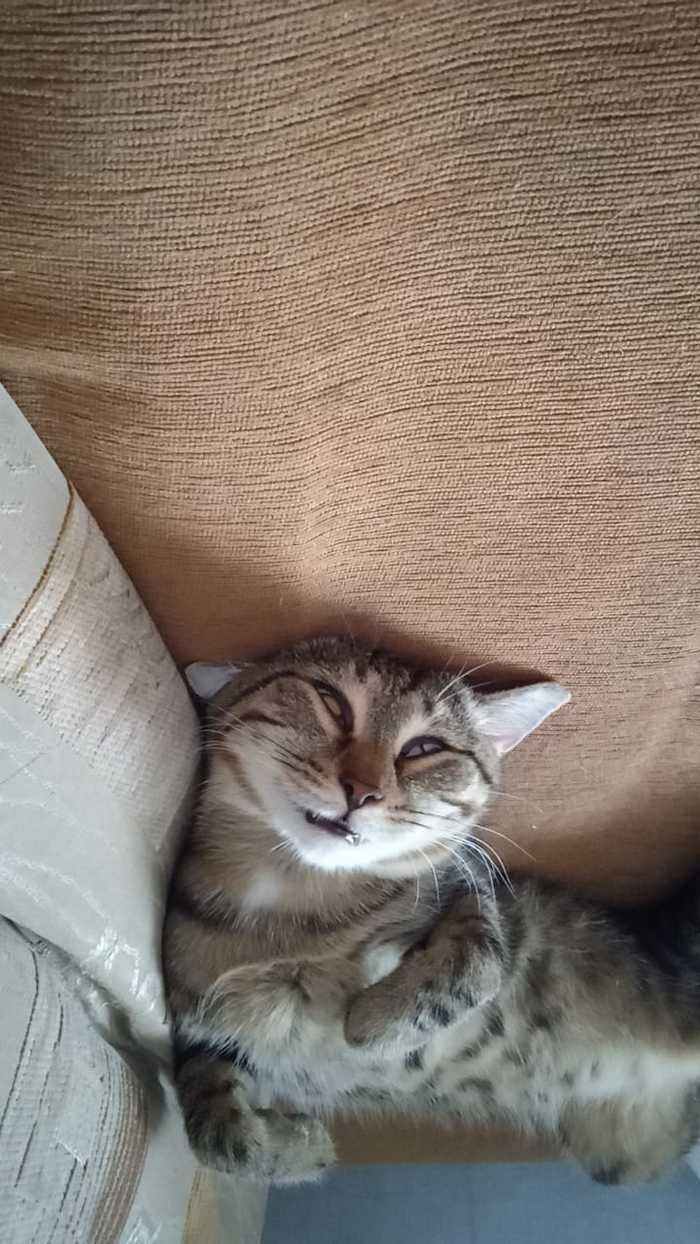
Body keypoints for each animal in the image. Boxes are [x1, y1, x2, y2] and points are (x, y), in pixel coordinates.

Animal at [163, 636, 700, 1185]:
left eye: (425, 748)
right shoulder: (205, 1033)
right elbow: (210, 1117)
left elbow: (478, 956)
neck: (296, 896)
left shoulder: (477, 887)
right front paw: (295, 1149)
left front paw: (375, 1023)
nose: (362, 790)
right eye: (331, 702)